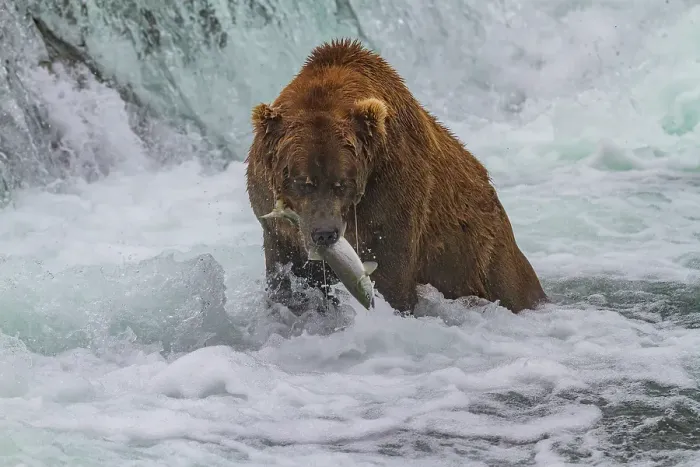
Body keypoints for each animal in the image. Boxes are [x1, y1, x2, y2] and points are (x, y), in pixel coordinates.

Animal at [245, 38, 547, 315]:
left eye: (341, 184)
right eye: (302, 182)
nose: (324, 234)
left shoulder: (392, 194)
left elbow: (391, 278)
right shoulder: (276, 225)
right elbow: (290, 280)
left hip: (482, 257)